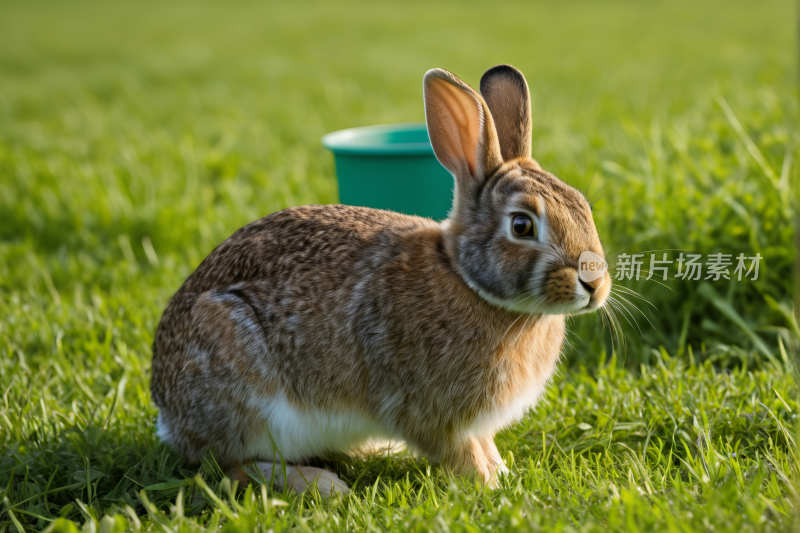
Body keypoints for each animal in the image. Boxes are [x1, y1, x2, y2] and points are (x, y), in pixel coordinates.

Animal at [152, 64, 612, 496]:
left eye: (582, 205)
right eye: (521, 225)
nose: (595, 285)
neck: (467, 281)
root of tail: (167, 413)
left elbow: (484, 444)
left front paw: (501, 471)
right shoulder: (425, 410)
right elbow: (459, 451)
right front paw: (490, 484)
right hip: (246, 390)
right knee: (230, 467)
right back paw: (322, 485)